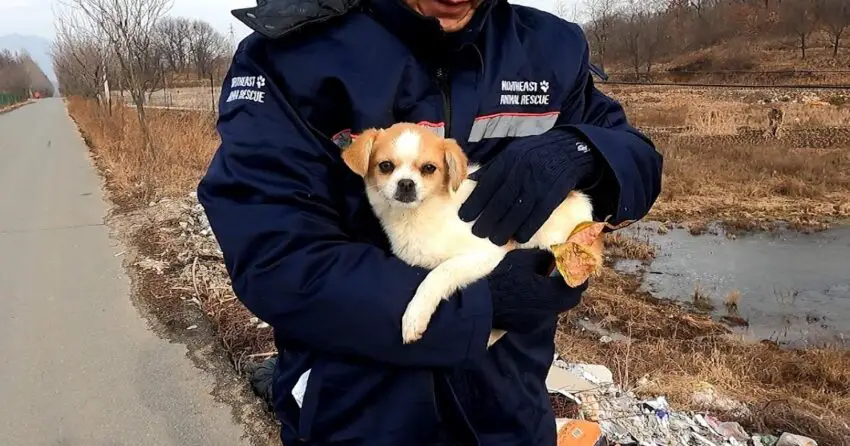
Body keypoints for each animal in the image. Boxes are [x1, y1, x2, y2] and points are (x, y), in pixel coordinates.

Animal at [342, 122, 592, 344]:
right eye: (385, 166)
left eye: (429, 168)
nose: (406, 183)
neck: (417, 216)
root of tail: (581, 203)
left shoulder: (486, 253)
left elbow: (439, 273)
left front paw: (415, 316)